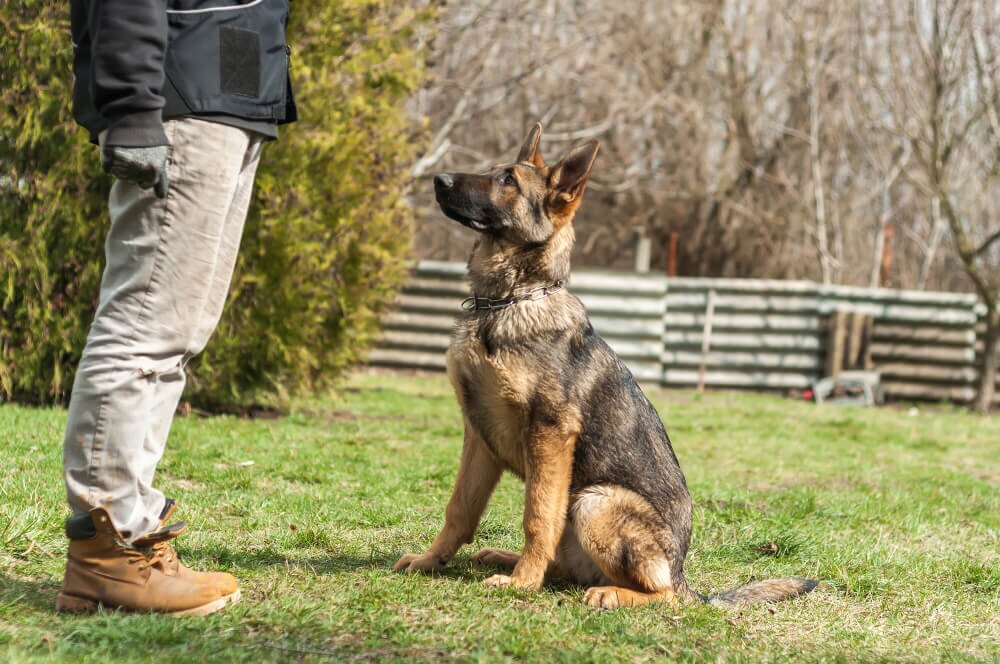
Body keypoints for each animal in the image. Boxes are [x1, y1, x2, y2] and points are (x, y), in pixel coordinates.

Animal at [392, 124, 820, 608]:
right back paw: (504, 558)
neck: (506, 302)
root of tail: (687, 579)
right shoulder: (479, 435)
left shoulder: (550, 432)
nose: (438, 180)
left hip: (594, 501)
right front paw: (431, 560)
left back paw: (606, 592)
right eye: (492, 169)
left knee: (661, 593)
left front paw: (522, 584)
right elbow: (459, 509)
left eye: (507, 180)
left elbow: (537, 514)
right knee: (565, 566)